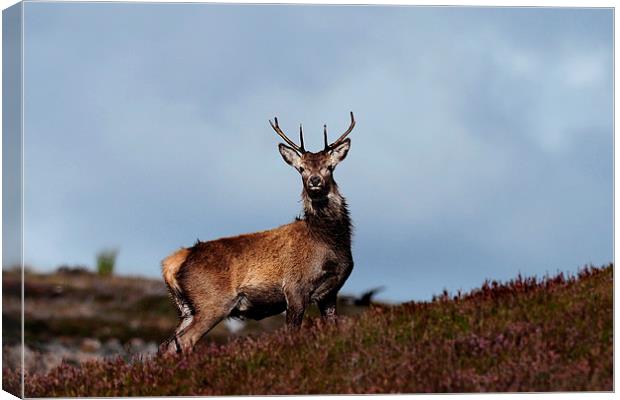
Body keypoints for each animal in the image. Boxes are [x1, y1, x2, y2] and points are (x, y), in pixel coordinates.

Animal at [157, 111, 356, 354]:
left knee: (167, 345)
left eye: (330, 166)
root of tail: (171, 264)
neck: (330, 243)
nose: (314, 181)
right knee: (185, 340)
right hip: (212, 302)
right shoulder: (295, 288)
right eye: (301, 169)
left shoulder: (329, 294)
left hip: (186, 308)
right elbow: (292, 333)